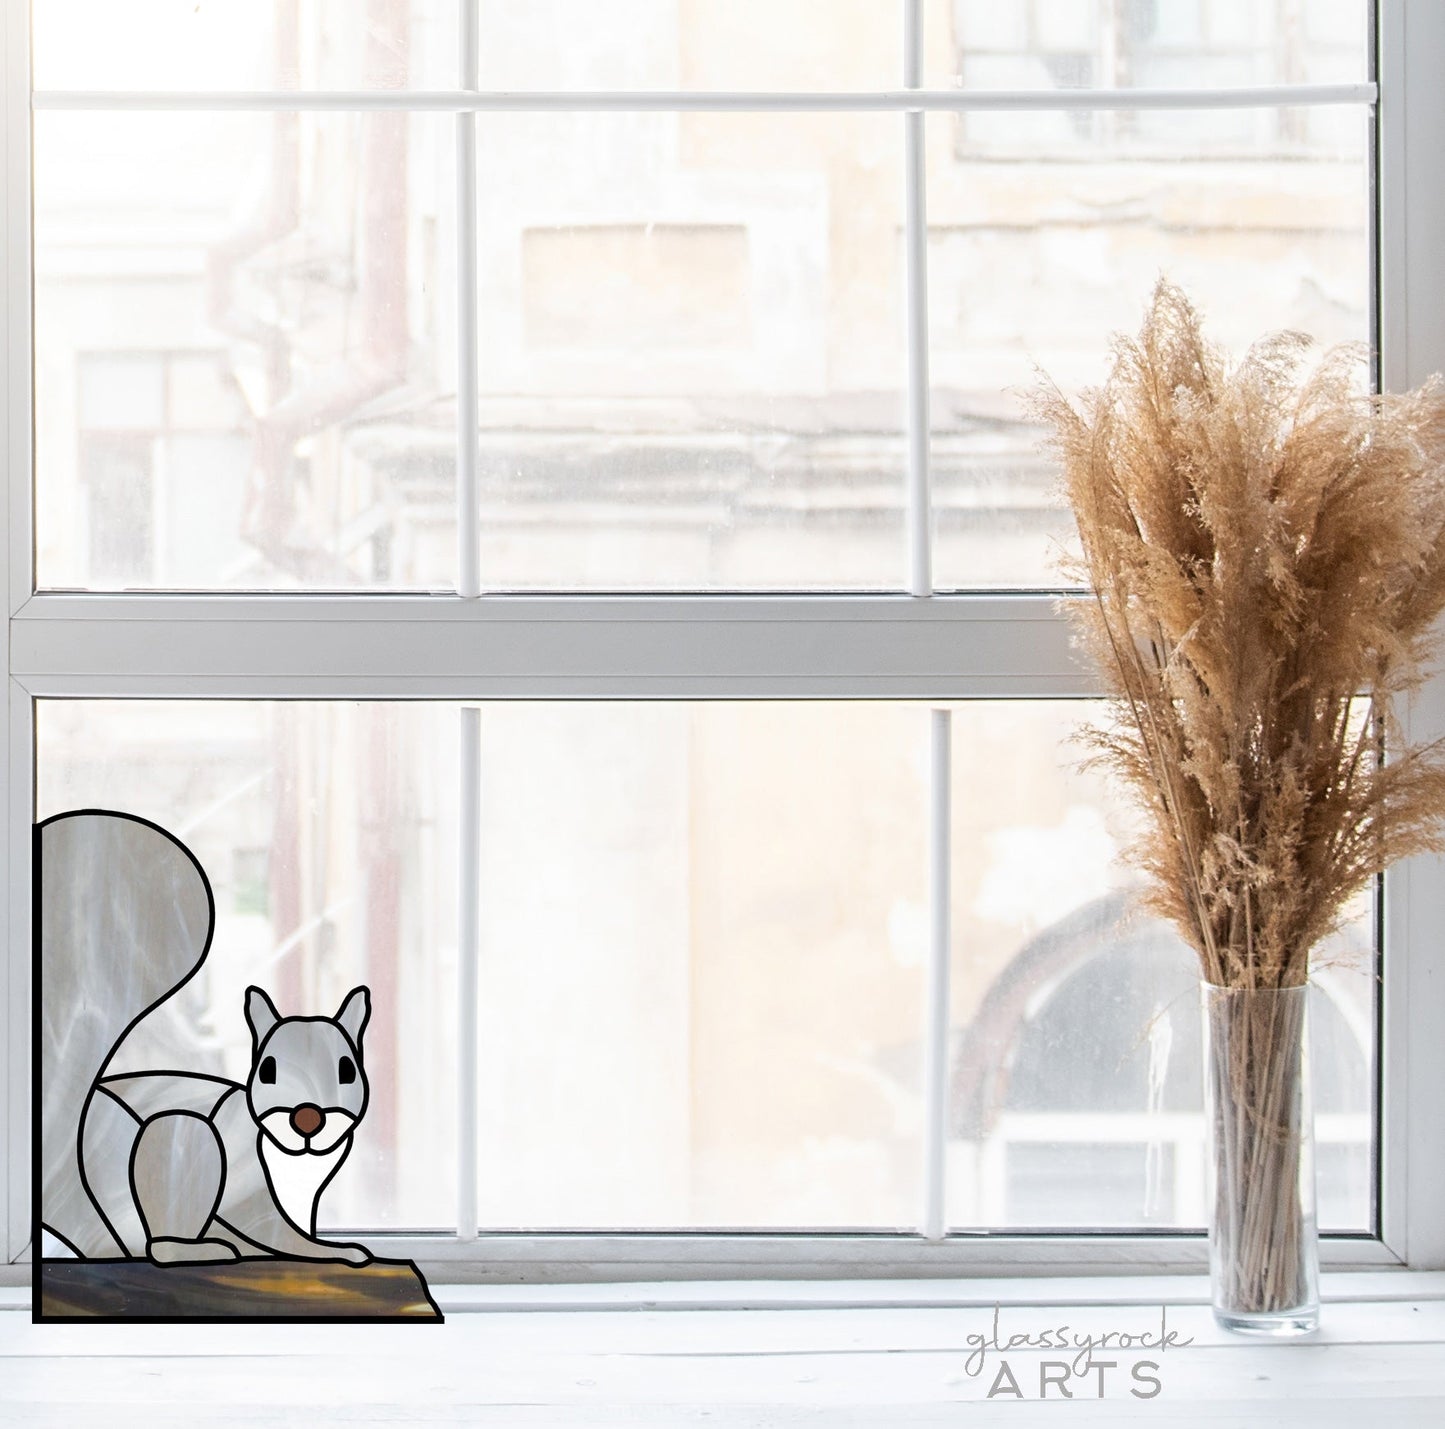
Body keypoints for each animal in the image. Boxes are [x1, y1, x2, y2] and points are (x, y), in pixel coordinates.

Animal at [38, 809, 375, 1267]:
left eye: (346, 1071)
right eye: (266, 1071)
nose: (307, 1118)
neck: (297, 1161)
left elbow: (295, 1230)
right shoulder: (257, 1197)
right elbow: (287, 1235)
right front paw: (332, 1251)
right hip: (186, 1139)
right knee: (158, 1245)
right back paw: (199, 1249)